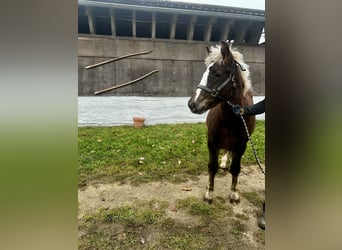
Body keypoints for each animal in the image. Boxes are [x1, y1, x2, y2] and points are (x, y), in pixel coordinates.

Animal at [188, 41, 255, 203]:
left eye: (217, 74)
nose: (192, 104)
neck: (230, 120)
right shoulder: (212, 143)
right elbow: (212, 167)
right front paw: (209, 193)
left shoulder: (241, 146)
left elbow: (236, 168)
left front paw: (234, 194)